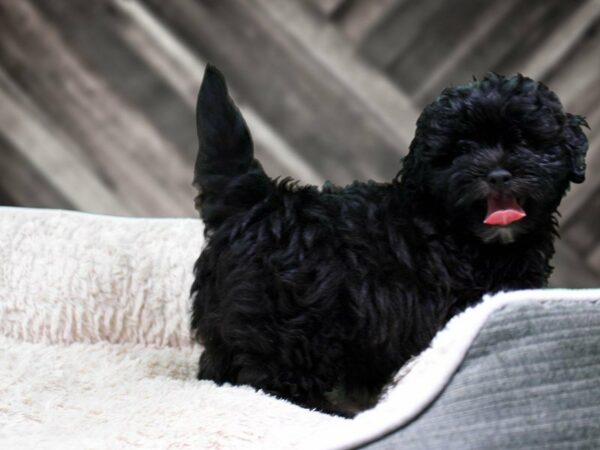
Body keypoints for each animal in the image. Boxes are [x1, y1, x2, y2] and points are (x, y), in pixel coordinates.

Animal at [190, 66, 588, 414]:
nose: (498, 174)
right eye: (461, 149)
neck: (459, 230)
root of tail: (262, 201)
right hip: (290, 317)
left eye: (524, 140)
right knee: (273, 377)